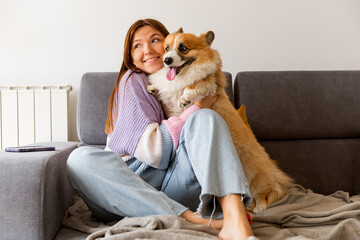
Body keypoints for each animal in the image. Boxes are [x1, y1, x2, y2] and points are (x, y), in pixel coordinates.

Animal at [148, 28, 292, 214]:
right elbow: (165, 88)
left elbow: (193, 86)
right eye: (166, 48)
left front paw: (185, 98)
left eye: (183, 48)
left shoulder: (208, 85)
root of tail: (273, 173)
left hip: (256, 179)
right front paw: (153, 87)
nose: (166, 60)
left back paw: (259, 207)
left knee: (264, 195)